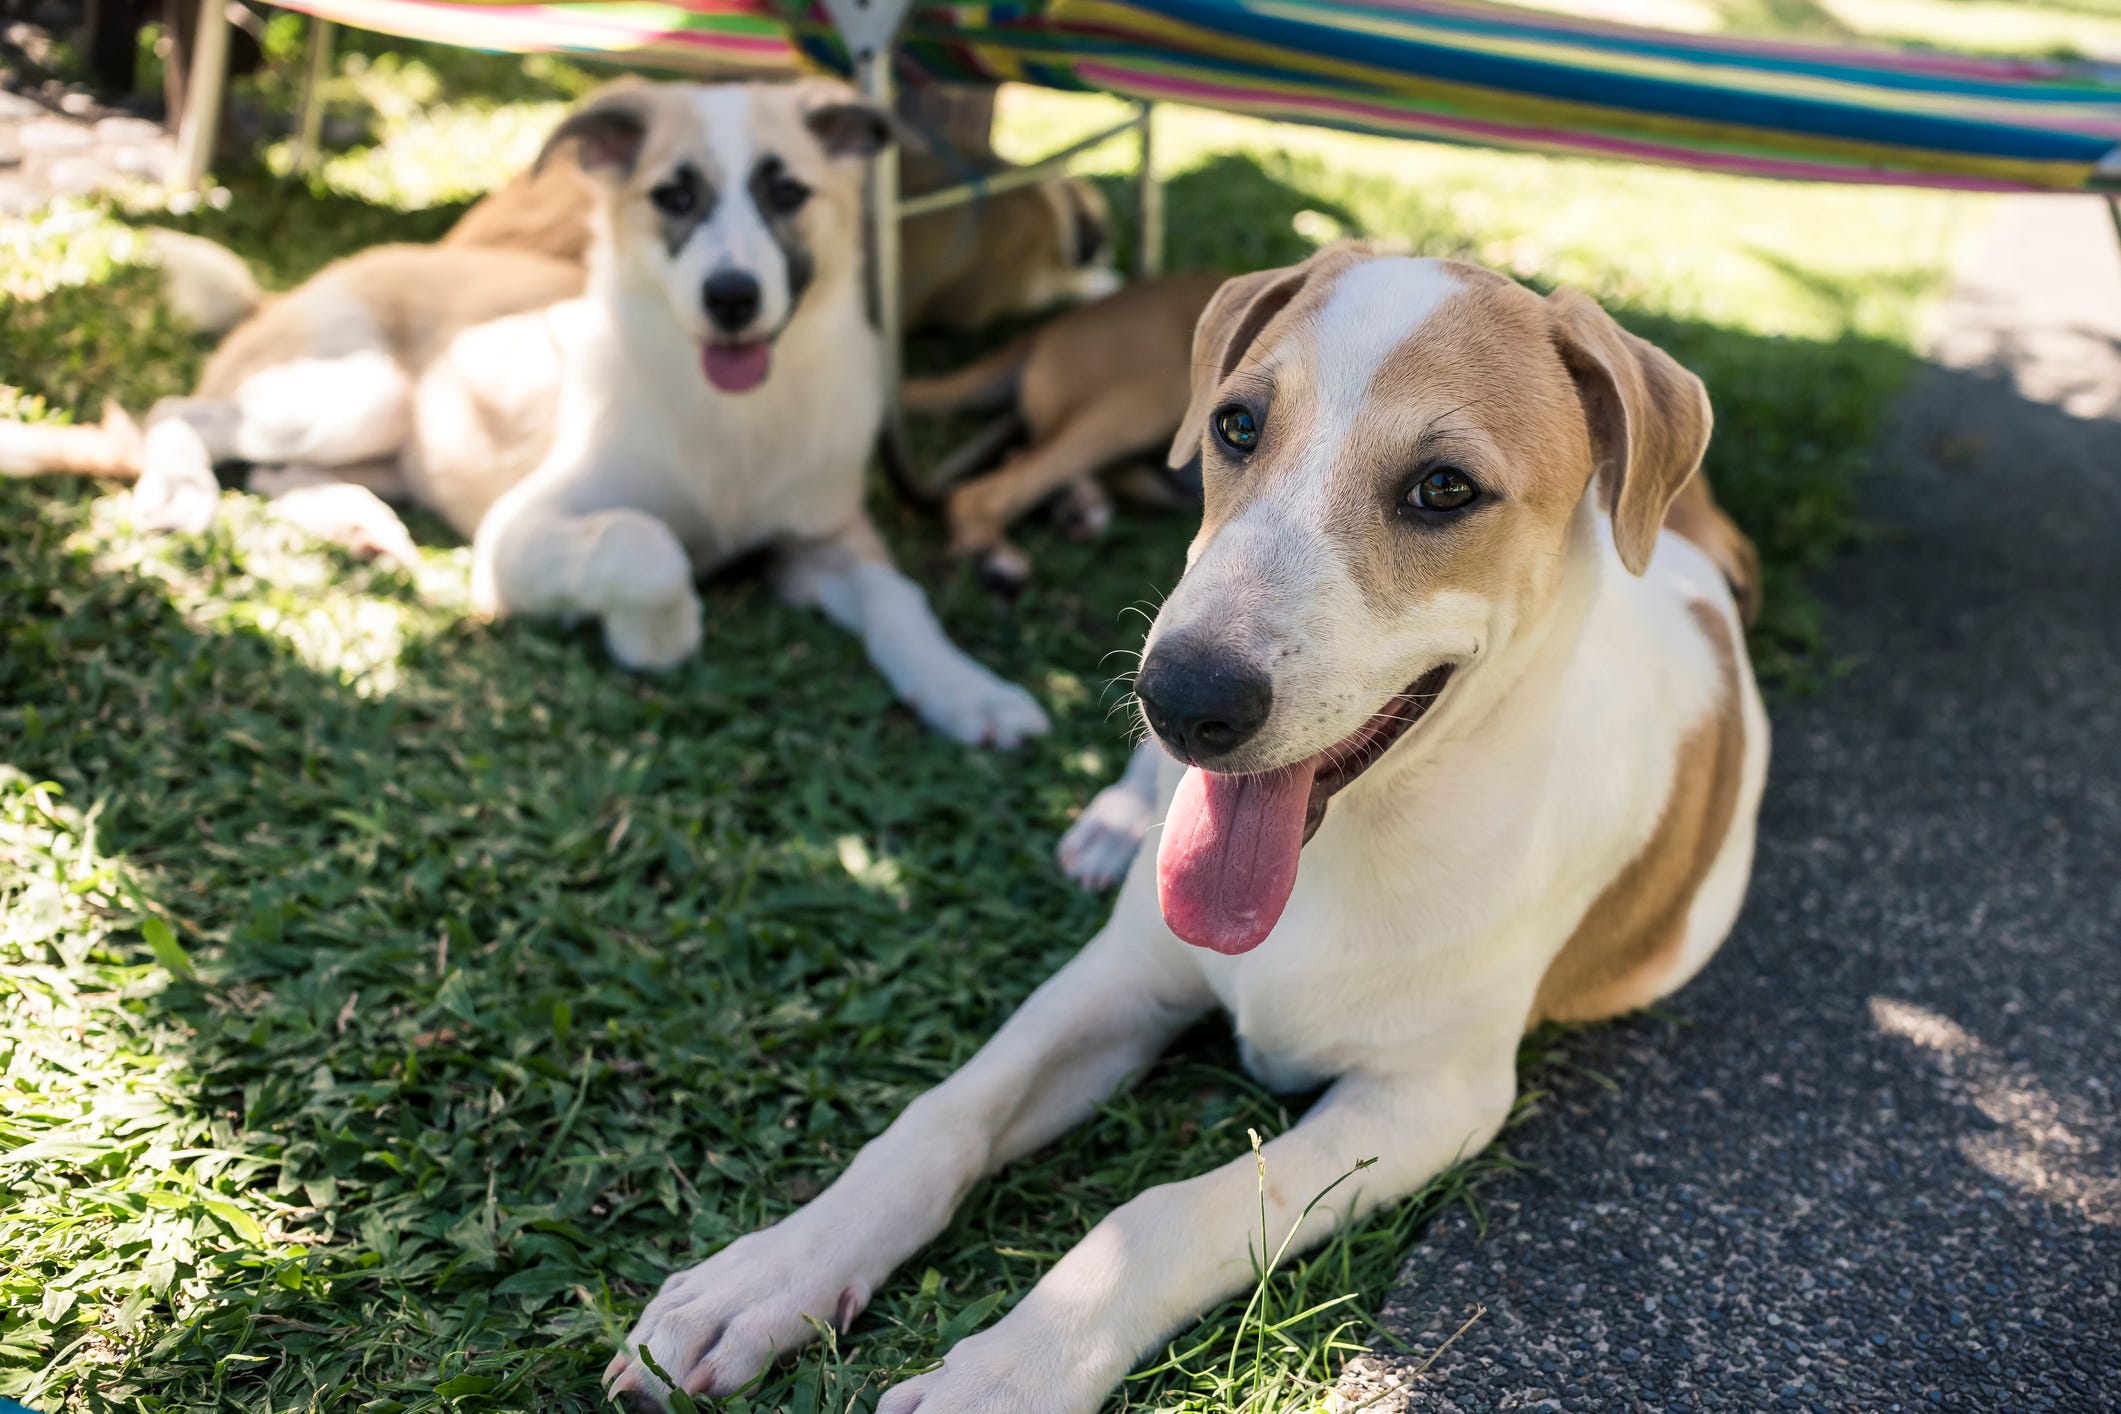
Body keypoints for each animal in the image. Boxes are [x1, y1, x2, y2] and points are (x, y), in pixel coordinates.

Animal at [0, 76, 1047, 746]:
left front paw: (970, 693)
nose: (733, 298)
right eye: (673, 196)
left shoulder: (825, 538)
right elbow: (646, 543)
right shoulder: (519, 531)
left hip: (382, 432)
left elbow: (901, 601)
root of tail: (285, 291)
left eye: (786, 190)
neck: (732, 423)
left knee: (277, 471)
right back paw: (181, 490)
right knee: (187, 412)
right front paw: (657, 636)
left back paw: (362, 525)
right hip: (356, 388)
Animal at [602, 245, 1773, 1414]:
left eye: (1445, 487)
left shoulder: (1426, 1101)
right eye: (1237, 425)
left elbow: (1168, 1213)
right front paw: (770, 1271)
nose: (1182, 699)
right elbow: (942, 1114)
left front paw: (1009, 1370)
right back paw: (1114, 819)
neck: (1341, 858)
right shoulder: (1120, 976)